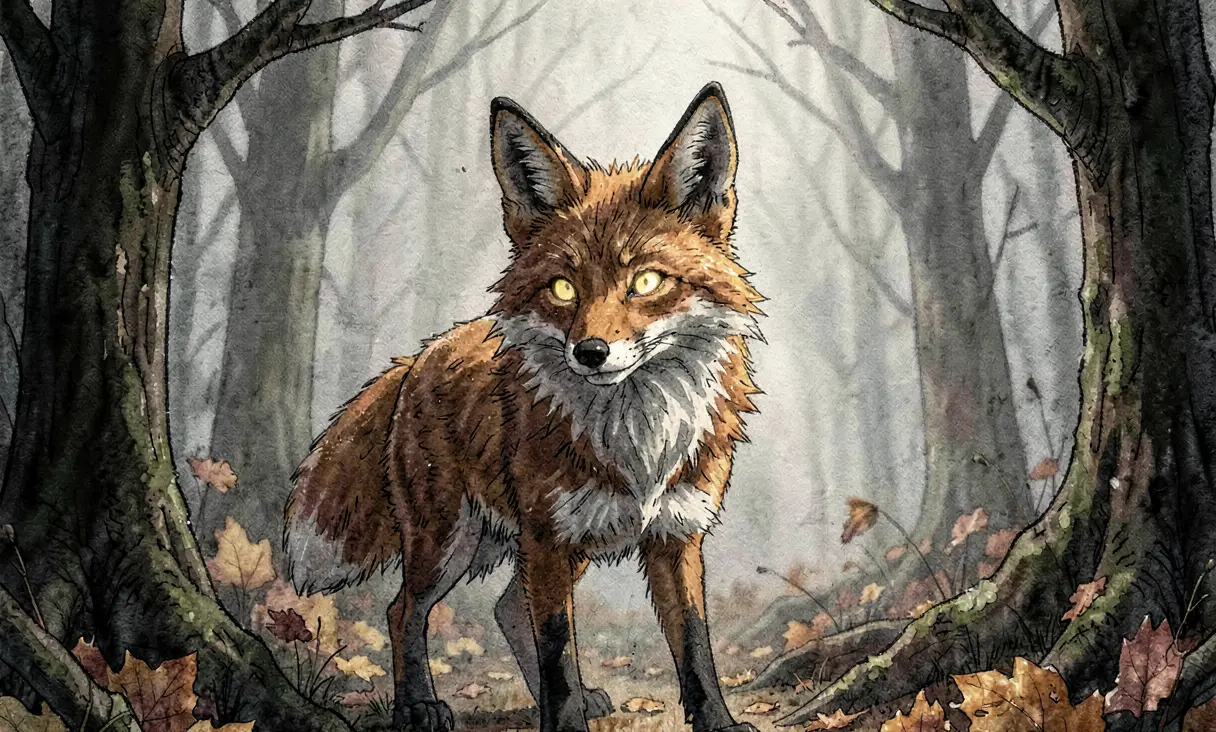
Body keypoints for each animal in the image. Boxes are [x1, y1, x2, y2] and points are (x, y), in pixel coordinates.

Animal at [284, 82, 764, 732]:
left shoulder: (674, 533)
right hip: (450, 541)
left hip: (552, 540)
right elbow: (557, 647)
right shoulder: (548, 537)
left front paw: (716, 721)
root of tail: (417, 360)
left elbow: (693, 643)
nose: (590, 352)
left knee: (506, 608)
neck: (637, 441)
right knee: (403, 609)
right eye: (563, 289)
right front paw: (562, 720)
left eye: (646, 282)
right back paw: (419, 705)